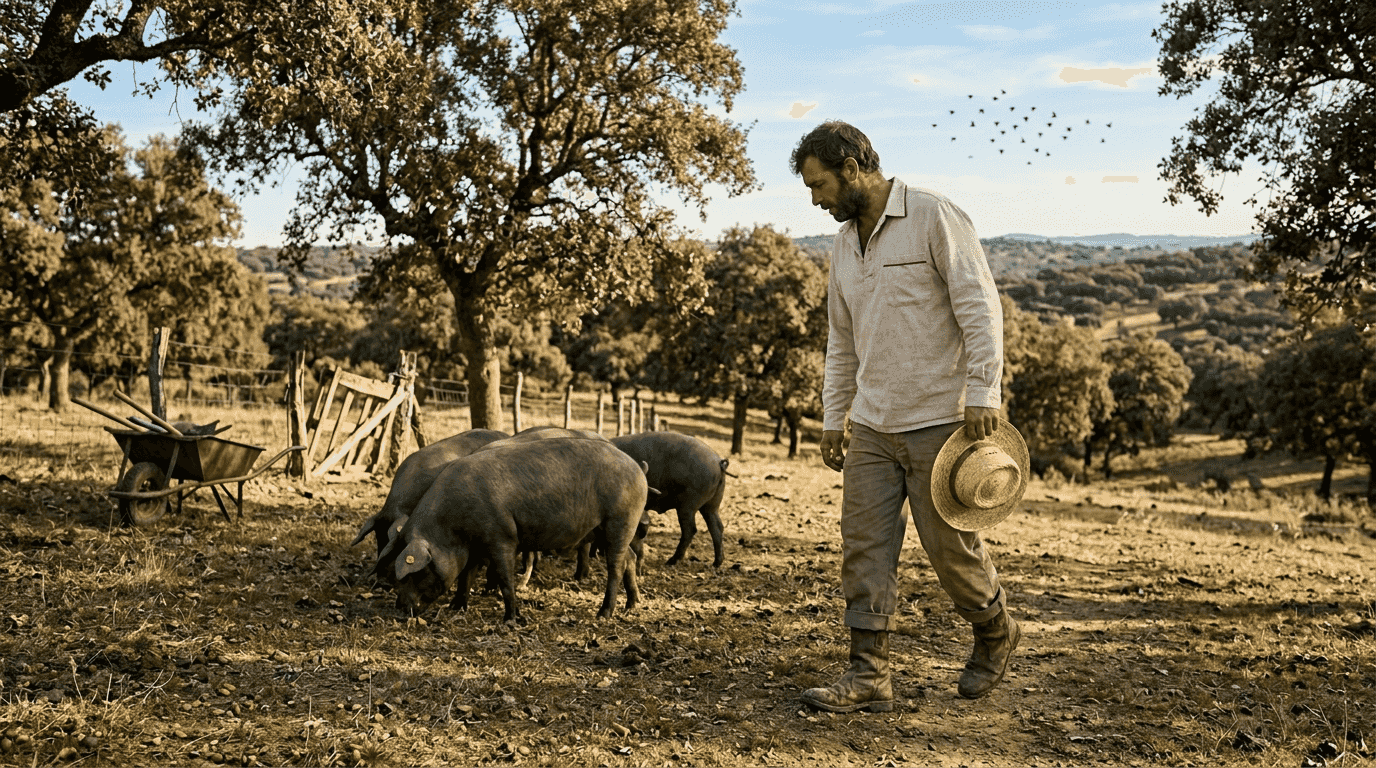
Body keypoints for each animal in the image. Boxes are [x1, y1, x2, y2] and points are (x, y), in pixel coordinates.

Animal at [373, 436, 648, 621]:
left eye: (416, 573)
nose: (399, 607)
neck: (453, 526)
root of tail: (638, 469)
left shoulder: (501, 536)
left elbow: (505, 578)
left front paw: (512, 619)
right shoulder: (474, 546)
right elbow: (466, 575)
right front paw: (456, 607)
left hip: (621, 519)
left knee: (616, 566)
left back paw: (604, 614)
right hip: (607, 529)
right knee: (629, 558)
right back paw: (632, 606)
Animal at [610, 431, 729, 567]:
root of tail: (718, 462)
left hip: (688, 505)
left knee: (690, 529)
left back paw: (671, 561)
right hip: (712, 505)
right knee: (717, 526)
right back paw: (716, 563)